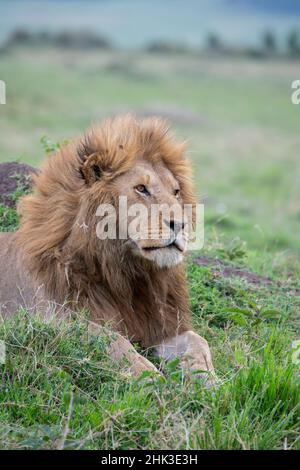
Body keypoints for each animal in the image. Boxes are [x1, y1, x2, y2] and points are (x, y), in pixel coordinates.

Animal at [0, 115, 216, 380]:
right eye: (141, 189)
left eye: (176, 192)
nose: (181, 224)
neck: (126, 274)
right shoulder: (50, 318)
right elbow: (114, 340)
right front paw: (152, 379)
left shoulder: (161, 325)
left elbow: (198, 342)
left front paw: (211, 381)